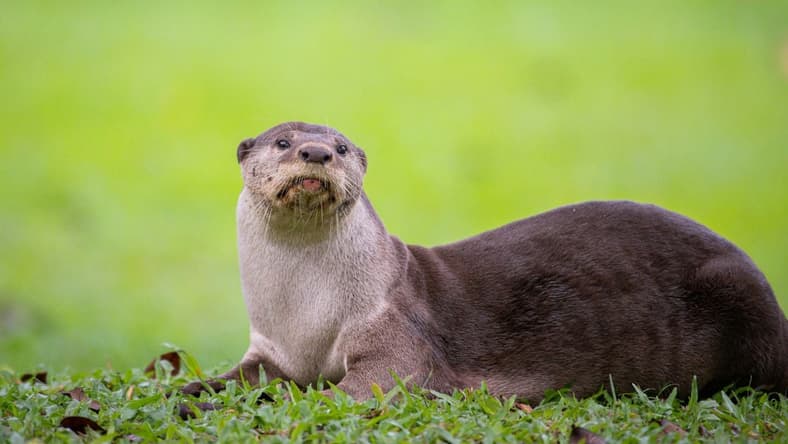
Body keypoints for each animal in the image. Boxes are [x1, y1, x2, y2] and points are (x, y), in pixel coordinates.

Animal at [183, 121, 787, 401]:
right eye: (283, 142)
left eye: (343, 146)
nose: (316, 153)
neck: (307, 314)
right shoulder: (271, 348)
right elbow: (243, 379)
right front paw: (184, 392)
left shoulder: (396, 340)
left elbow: (356, 386)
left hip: (739, 291)